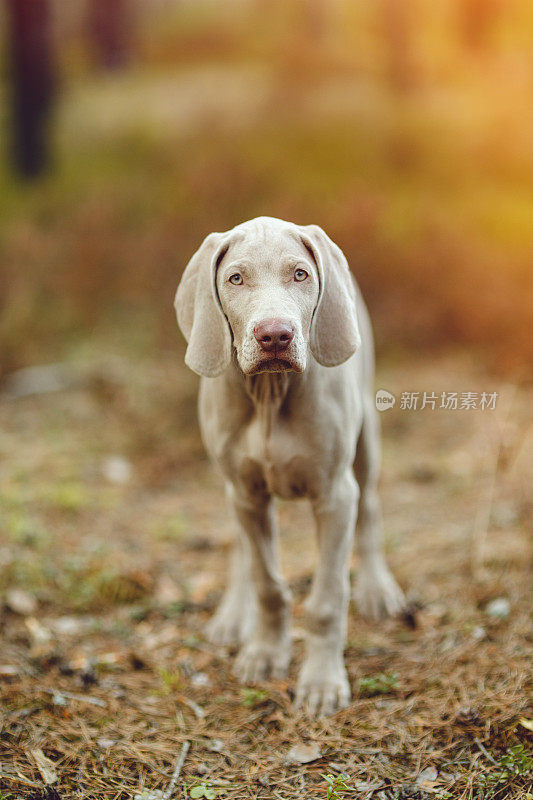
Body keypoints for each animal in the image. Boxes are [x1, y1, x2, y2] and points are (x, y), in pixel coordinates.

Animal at [175, 216, 404, 716]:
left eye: (300, 274)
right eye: (235, 279)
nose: (275, 335)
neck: (270, 395)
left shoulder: (335, 497)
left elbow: (327, 599)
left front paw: (321, 682)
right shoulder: (246, 493)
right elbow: (267, 583)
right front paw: (264, 652)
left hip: (366, 440)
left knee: (371, 508)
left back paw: (377, 589)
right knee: (242, 546)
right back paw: (232, 614)